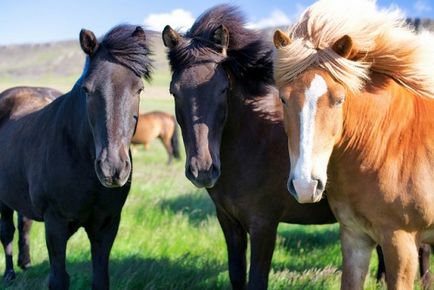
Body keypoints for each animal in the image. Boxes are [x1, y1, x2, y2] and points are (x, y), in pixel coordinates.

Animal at [272, 1, 434, 288]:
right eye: (283, 98)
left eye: (339, 99)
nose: (305, 185)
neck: (388, 143)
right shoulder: (355, 237)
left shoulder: (400, 243)